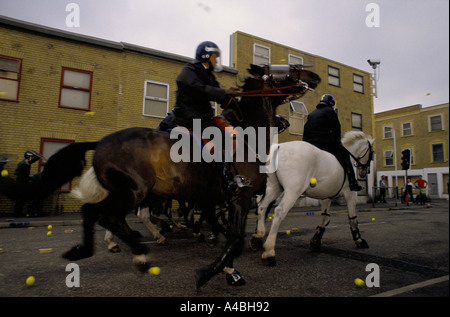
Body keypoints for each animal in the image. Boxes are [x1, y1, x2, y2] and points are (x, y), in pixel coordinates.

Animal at [39, 63, 320, 286]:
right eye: (284, 71)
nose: (314, 76)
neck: (248, 137)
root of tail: (102, 142)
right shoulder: (239, 198)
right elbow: (234, 239)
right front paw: (211, 272)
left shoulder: (220, 200)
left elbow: (230, 235)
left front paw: (229, 269)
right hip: (133, 191)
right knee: (106, 216)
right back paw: (139, 251)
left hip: (128, 193)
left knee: (96, 213)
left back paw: (91, 250)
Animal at [251, 130, 374, 266]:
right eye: (371, 153)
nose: (364, 172)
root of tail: (279, 147)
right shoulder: (351, 194)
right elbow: (352, 218)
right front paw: (359, 240)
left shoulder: (327, 196)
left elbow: (325, 218)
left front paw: (316, 240)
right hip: (293, 190)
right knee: (279, 212)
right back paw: (269, 251)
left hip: (275, 188)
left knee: (262, 207)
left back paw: (258, 236)